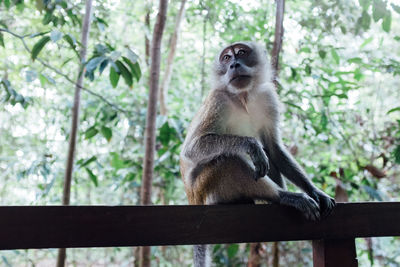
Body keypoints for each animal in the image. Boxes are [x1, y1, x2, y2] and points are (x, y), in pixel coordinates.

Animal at [180, 42, 336, 267]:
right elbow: (192, 148)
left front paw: (315, 191)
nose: (234, 64)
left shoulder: (267, 97)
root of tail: (193, 199)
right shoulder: (218, 100)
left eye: (241, 52)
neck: (243, 96)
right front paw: (251, 146)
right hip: (205, 188)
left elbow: (273, 148)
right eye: (226, 58)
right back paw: (283, 196)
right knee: (229, 161)